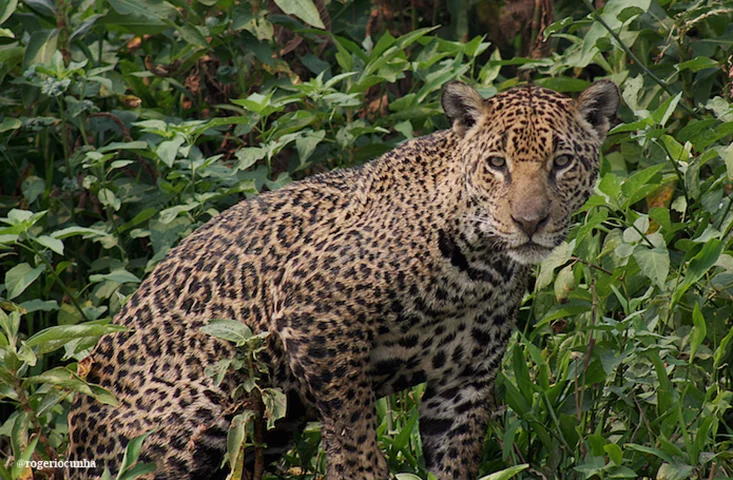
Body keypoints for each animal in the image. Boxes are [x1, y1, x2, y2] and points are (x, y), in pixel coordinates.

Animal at [65, 79, 619, 480]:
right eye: (497, 164)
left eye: (562, 162)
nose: (530, 222)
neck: (480, 267)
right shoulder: (311, 311)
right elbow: (353, 428)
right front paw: (363, 468)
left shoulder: (467, 378)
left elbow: (455, 458)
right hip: (208, 407)